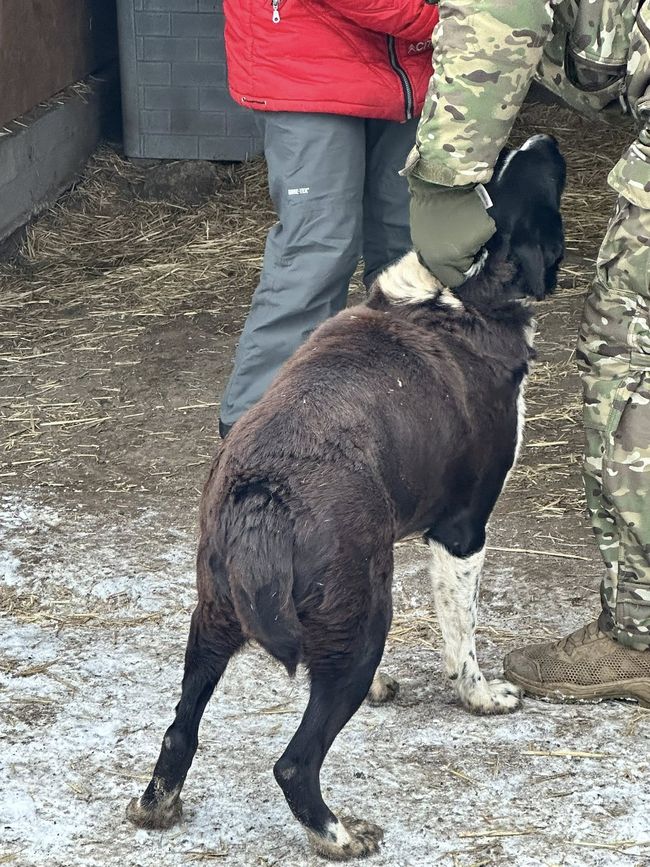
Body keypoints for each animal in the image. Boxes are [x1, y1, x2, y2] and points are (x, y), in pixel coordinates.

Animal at [127, 134, 566, 860]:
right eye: (536, 176)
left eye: (506, 158)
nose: (546, 138)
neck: (454, 289)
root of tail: (262, 495)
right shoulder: (463, 530)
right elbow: (462, 633)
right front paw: (480, 697)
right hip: (362, 620)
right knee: (293, 761)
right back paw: (337, 833)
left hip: (212, 620)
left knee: (178, 728)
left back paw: (157, 804)